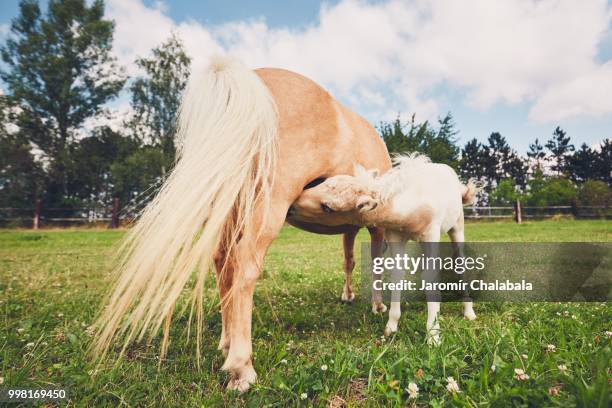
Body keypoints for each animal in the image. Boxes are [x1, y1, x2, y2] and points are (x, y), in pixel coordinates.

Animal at [94, 57, 392, 392]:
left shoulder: (350, 228)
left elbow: (349, 260)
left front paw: (349, 295)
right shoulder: (375, 227)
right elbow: (373, 263)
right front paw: (377, 306)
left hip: (230, 210)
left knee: (223, 262)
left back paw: (226, 341)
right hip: (266, 208)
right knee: (245, 268)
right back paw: (241, 367)